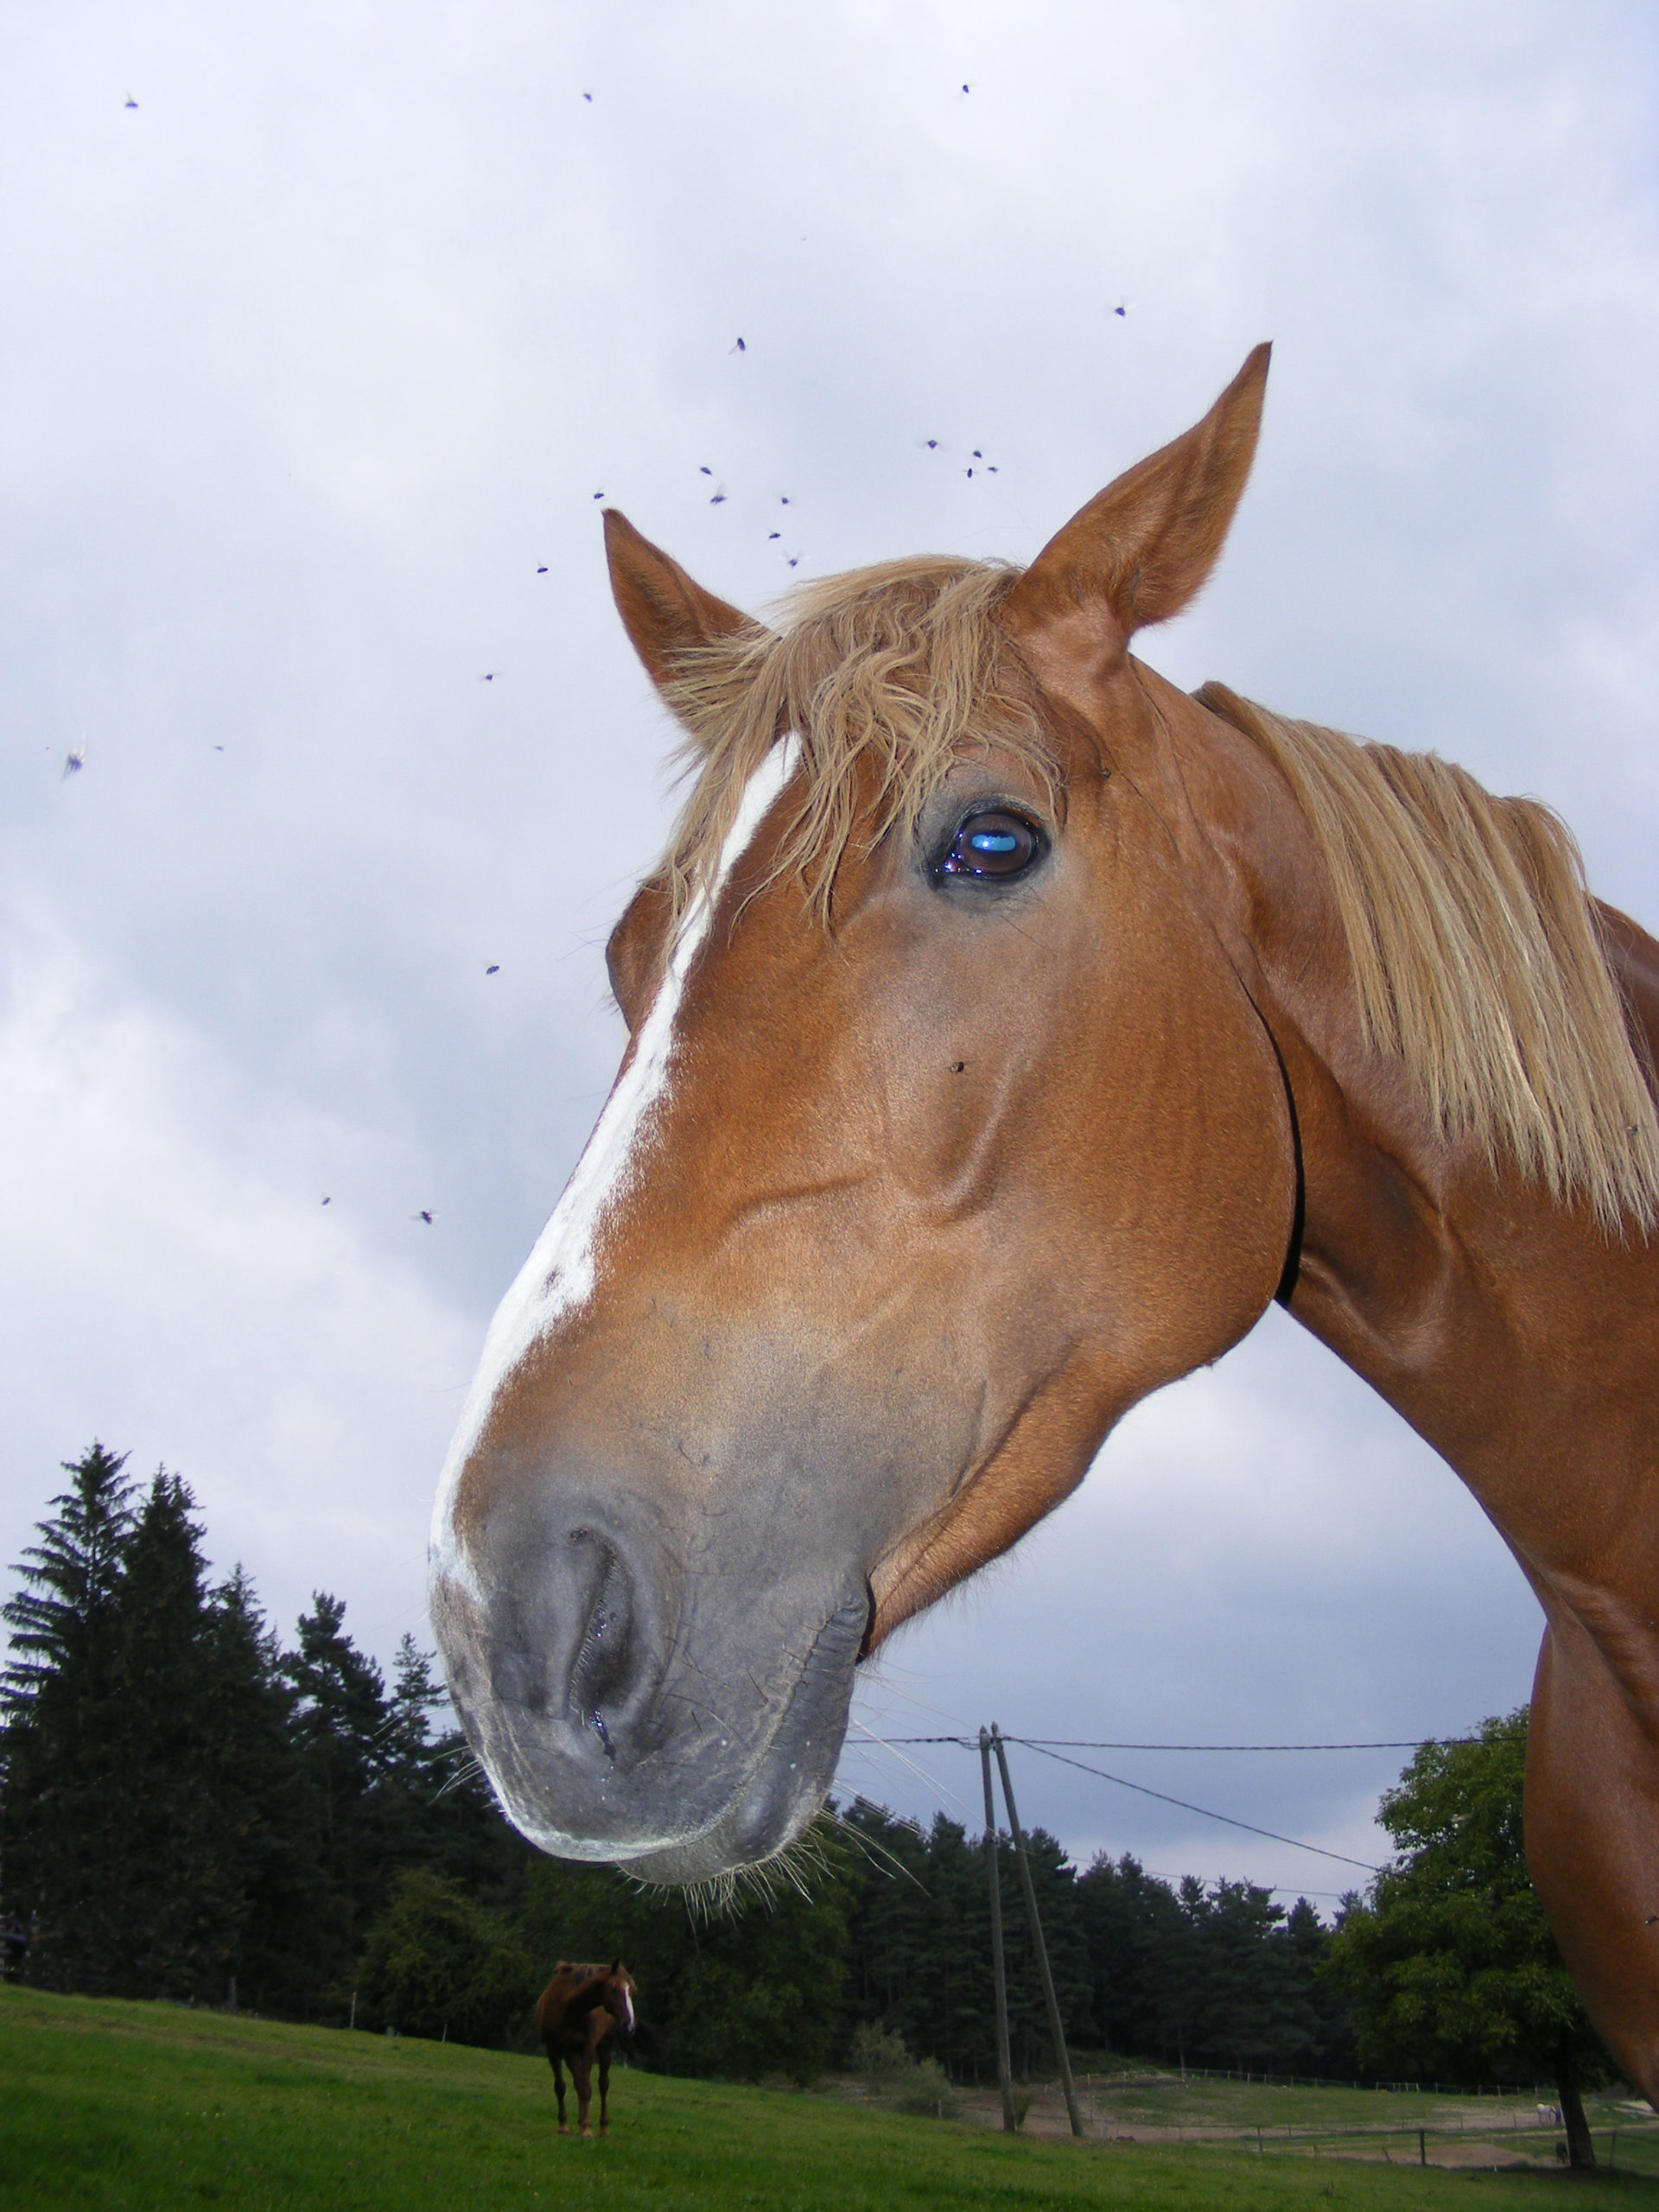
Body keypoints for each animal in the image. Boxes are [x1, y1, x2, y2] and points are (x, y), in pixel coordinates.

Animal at [539, 1964, 637, 2132]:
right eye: (613, 1988)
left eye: (632, 1991)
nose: (629, 2025)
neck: (567, 2007)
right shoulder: (552, 2049)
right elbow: (561, 2086)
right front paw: (564, 2125)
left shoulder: (588, 2048)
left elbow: (586, 2088)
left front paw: (586, 2128)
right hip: (571, 2053)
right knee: (578, 2081)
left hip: (604, 2047)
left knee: (603, 2084)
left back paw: (603, 2127)